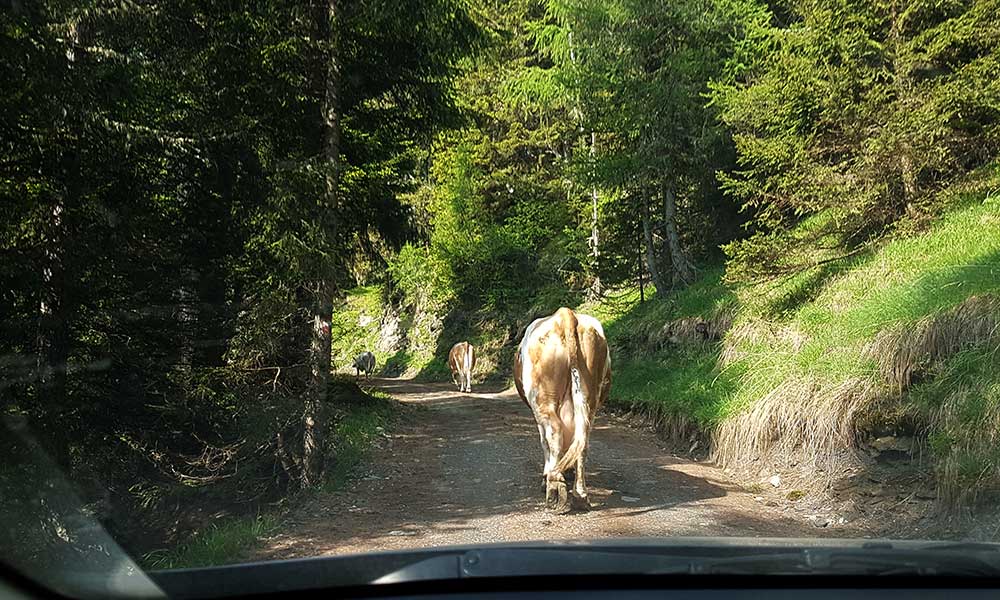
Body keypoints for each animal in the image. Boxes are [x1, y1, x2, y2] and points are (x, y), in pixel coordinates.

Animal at [516, 308, 608, 512]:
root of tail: (565, 315)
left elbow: (544, 442)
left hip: (543, 399)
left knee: (554, 434)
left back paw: (553, 487)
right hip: (589, 399)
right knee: (583, 441)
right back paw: (580, 495)